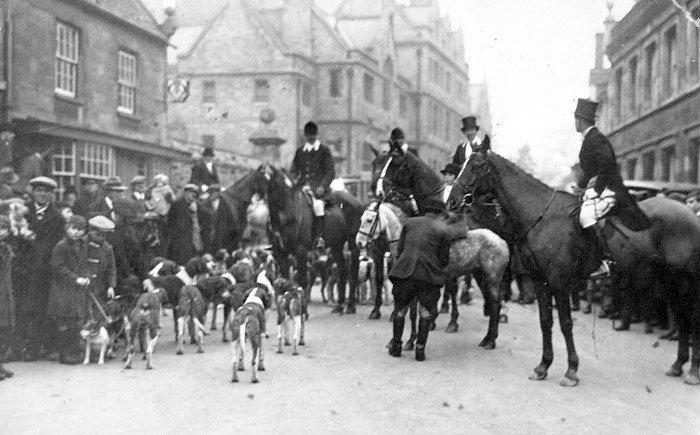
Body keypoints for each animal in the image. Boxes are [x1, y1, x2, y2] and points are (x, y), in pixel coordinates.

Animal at [258, 164, 366, 314]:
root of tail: (355, 201)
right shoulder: (280, 253)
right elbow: (284, 281)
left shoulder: (301, 252)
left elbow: (302, 281)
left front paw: (302, 309)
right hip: (336, 245)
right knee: (343, 269)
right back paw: (339, 305)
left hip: (352, 241)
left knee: (353, 270)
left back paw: (350, 306)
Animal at [448, 151, 700, 388]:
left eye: (475, 166)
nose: (451, 202)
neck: (542, 217)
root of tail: (690, 215)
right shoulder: (540, 280)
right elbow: (545, 321)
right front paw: (543, 366)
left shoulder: (559, 282)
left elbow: (565, 323)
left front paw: (571, 371)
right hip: (669, 281)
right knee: (682, 317)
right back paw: (678, 365)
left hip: (686, 280)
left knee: (692, 318)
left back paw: (693, 372)